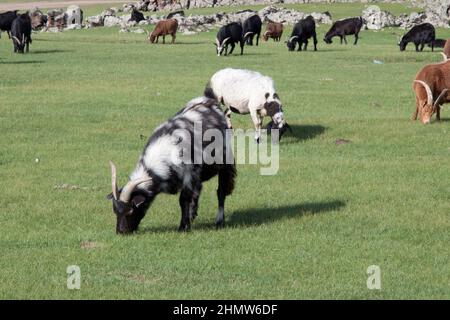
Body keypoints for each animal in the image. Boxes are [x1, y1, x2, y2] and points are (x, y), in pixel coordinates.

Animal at [107, 96, 237, 234]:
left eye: (130, 210)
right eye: (115, 211)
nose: (121, 231)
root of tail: (209, 100)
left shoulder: (189, 174)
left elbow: (183, 200)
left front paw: (183, 227)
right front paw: (188, 220)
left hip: (225, 163)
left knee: (221, 191)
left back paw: (219, 220)